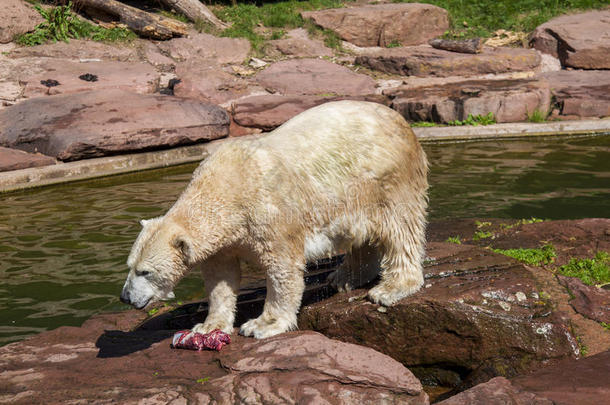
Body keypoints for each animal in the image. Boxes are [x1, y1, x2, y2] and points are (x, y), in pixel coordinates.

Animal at [117, 100, 422, 338]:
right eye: (130, 266)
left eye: (145, 272)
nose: (125, 297)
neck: (224, 188)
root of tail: (400, 119)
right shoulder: (224, 243)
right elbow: (220, 277)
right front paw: (207, 327)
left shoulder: (270, 214)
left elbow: (282, 268)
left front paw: (261, 325)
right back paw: (344, 277)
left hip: (387, 177)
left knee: (400, 229)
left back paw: (390, 287)